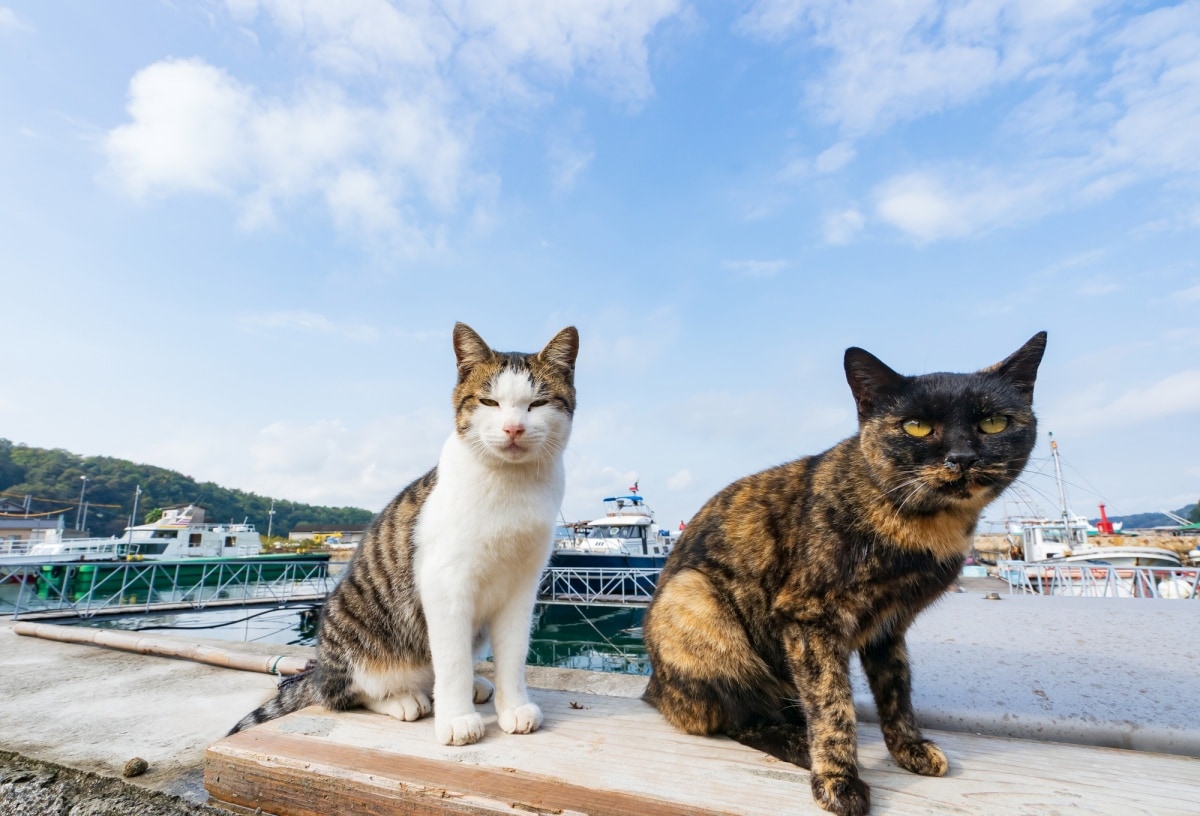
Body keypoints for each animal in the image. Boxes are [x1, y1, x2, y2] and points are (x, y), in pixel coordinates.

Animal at [231, 321, 578, 744]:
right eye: (489, 402)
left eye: (538, 404)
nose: (513, 428)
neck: (511, 486)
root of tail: (319, 671)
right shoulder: (445, 582)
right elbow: (451, 661)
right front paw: (456, 720)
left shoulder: (523, 586)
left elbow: (512, 655)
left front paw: (513, 708)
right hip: (351, 631)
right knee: (344, 694)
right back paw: (404, 699)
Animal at [643, 333, 1046, 816]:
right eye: (915, 426)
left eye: (993, 423)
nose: (962, 457)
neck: (925, 526)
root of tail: (655, 690)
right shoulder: (809, 618)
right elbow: (833, 706)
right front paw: (838, 778)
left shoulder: (889, 626)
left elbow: (897, 692)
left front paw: (909, 748)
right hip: (695, 600)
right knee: (738, 716)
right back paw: (800, 745)